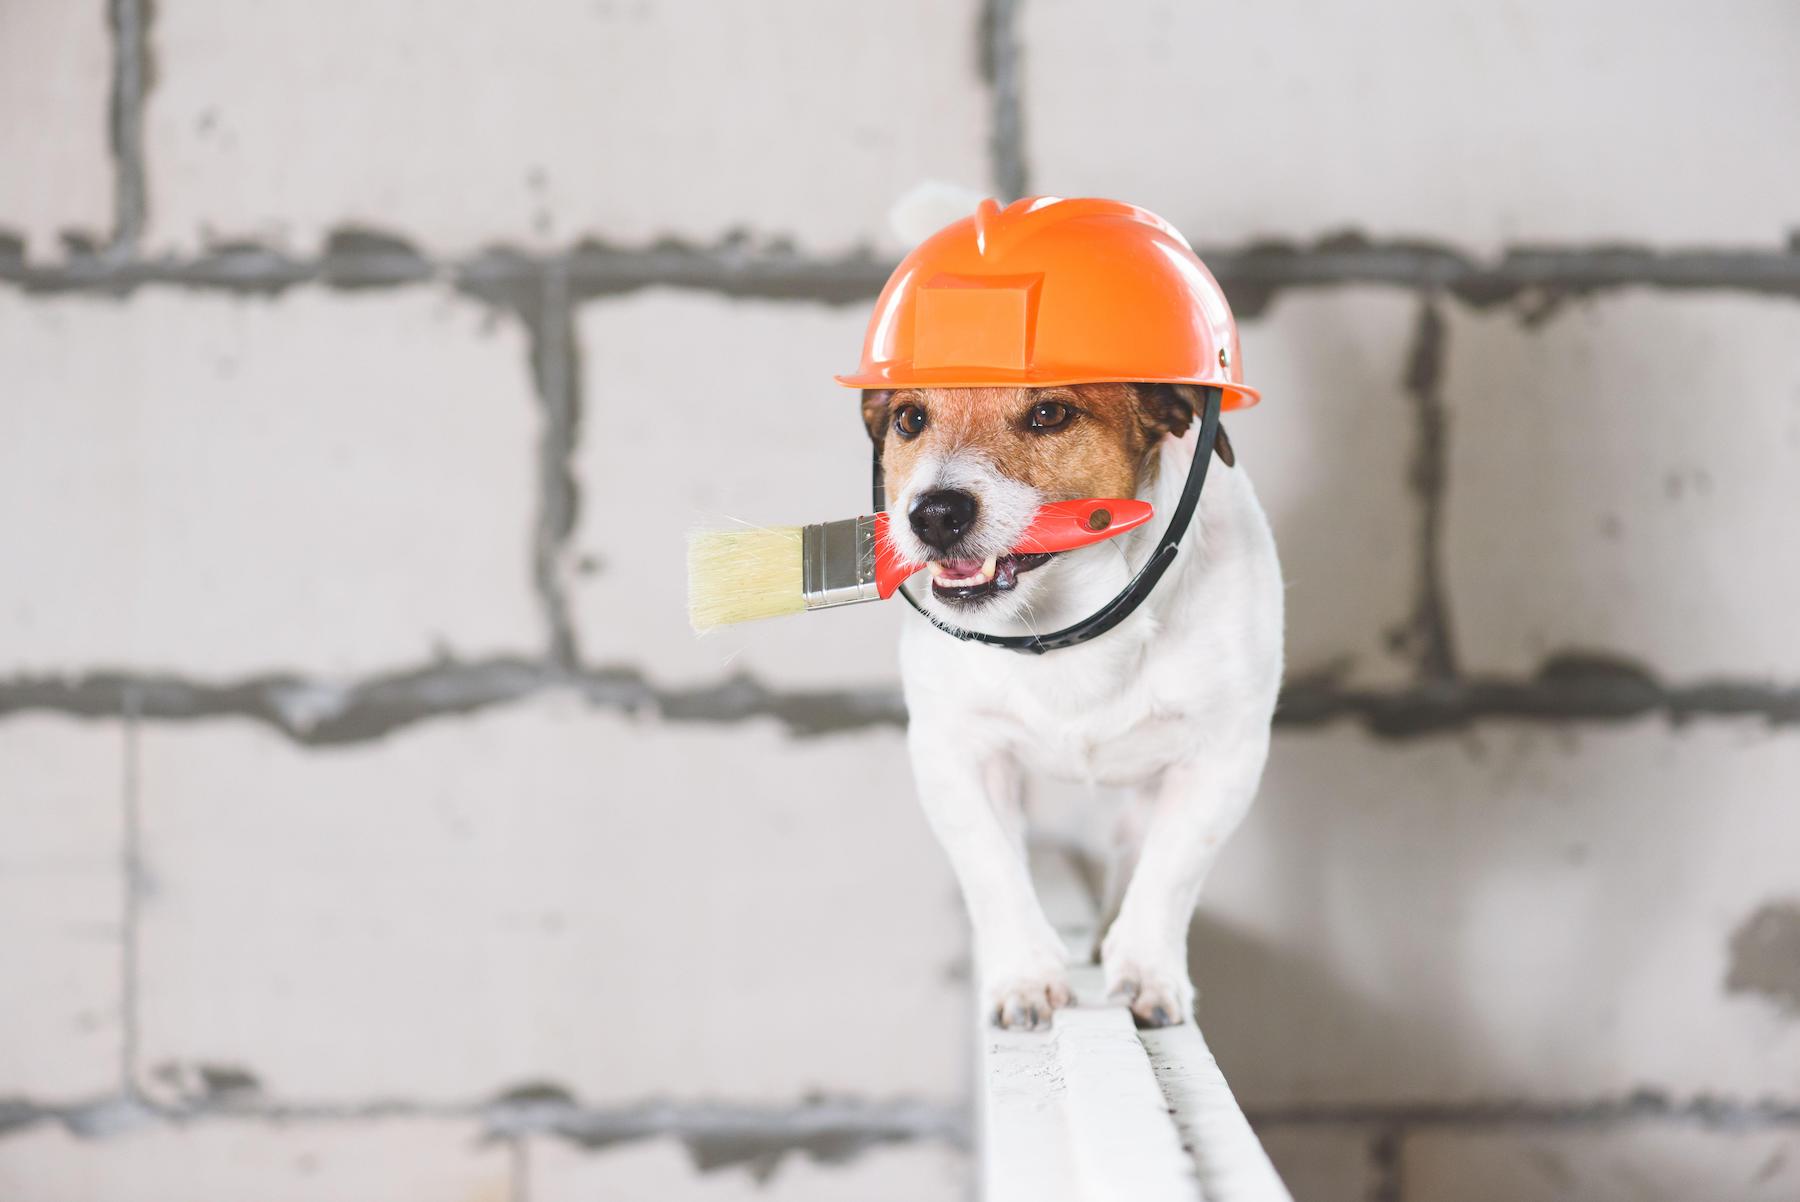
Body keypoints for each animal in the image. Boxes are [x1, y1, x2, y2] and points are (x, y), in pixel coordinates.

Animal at [867, 379, 1281, 1029]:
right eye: (910, 419)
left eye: (1049, 413)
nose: (933, 514)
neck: (1070, 623)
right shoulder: (955, 753)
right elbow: (992, 868)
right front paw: (1025, 977)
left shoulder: (1224, 758)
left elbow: (1170, 871)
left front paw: (1146, 975)